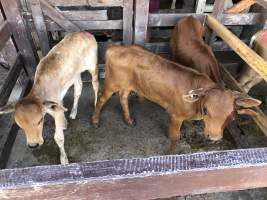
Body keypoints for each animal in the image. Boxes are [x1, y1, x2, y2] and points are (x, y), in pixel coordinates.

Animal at [0, 32, 99, 164]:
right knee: (78, 87)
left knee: (95, 84)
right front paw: (64, 123)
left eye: (40, 121)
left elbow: (58, 138)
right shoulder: (56, 102)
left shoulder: (55, 110)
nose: (33, 145)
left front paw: (64, 159)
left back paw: (96, 105)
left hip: (93, 66)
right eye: (19, 124)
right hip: (75, 73)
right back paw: (73, 112)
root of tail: (85, 33)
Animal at [92, 45, 262, 152]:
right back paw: (95, 121)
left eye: (232, 116)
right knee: (101, 99)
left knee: (123, 97)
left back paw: (128, 119)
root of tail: (116, 48)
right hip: (112, 83)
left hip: (128, 84)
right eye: (206, 109)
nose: (214, 138)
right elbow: (175, 136)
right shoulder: (175, 115)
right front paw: (172, 151)